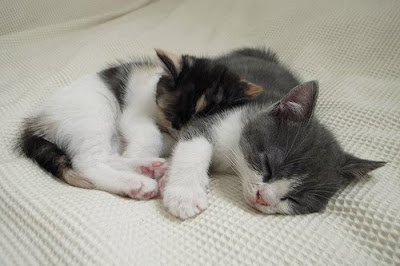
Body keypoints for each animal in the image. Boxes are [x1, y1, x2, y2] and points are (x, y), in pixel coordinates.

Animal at [19, 49, 262, 200]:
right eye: (171, 115)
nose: (180, 131)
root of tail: (37, 121)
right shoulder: (135, 113)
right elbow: (150, 136)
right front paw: (142, 154)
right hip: (94, 113)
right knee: (87, 163)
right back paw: (136, 182)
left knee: (107, 157)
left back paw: (148, 167)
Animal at [159, 47, 384, 218]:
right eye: (268, 166)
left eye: (297, 198)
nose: (264, 198)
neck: (234, 161)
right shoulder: (215, 119)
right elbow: (193, 146)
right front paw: (184, 196)